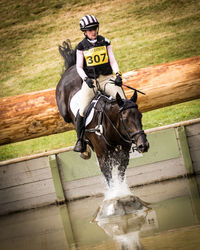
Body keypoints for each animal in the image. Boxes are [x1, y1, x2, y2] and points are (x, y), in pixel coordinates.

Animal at [55, 40, 149, 187]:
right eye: (125, 119)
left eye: (140, 116)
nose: (143, 145)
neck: (112, 127)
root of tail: (71, 68)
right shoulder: (103, 158)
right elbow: (110, 180)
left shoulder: (123, 155)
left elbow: (120, 177)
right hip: (65, 112)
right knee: (75, 119)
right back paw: (83, 148)